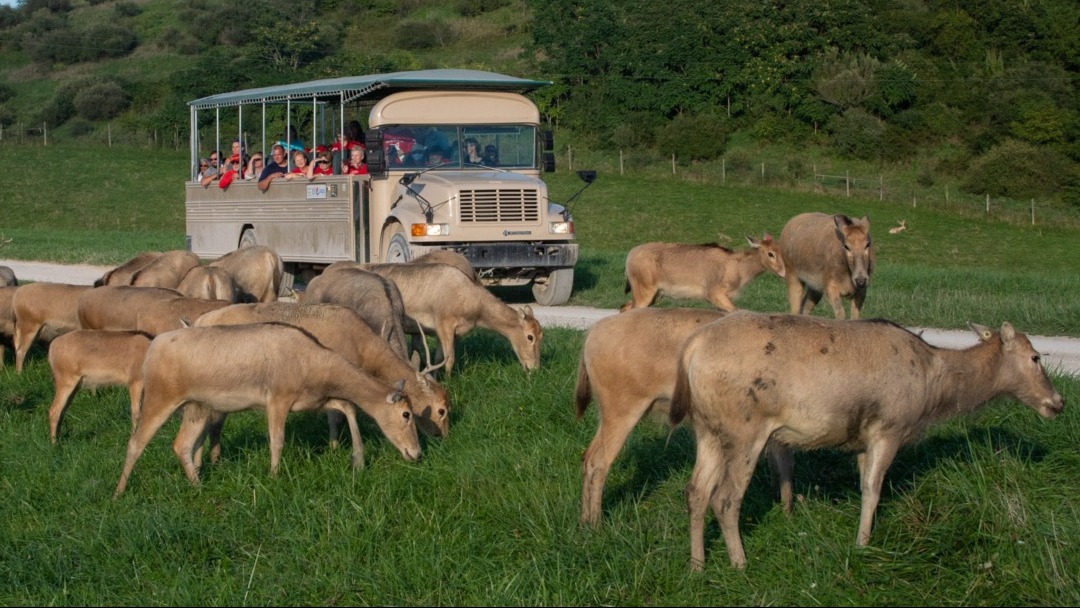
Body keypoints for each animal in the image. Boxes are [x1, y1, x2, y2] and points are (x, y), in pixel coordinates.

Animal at [113, 322, 422, 497]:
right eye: (406, 414)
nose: (417, 453)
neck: (315, 368)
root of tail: (152, 349)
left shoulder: (313, 399)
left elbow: (346, 405)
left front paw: (357, 460)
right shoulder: (278, 398)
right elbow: (277, 440)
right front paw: (273, 478)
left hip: (196, 408)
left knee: (182, 445)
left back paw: (198, 486)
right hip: (159, 397)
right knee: (135, 442)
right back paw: (118, 493)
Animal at [620, 235, 786, 312]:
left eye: (782, 250)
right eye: (770, 253)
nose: (783, 272)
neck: (739, 270)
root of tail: (628, 258)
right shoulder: (713, 293)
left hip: (653, 294)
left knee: (624, 307)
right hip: (644, 290)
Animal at [669, 310, 1065, 570]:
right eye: (1035, 357)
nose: (1057, 403)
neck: (932, 388)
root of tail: (690, 349)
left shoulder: (861, 440)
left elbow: (864, 485)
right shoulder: (889, 426)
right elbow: (873, 489)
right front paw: (863, 546)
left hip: (707, 428)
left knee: (695, 491)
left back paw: (696, 565)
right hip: (745, 427)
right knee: (725, 498)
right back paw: (740, 564)